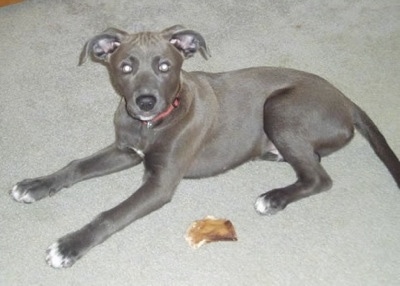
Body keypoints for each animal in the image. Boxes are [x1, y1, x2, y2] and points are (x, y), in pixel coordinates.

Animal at [10, 25, 400, 268]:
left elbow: (111, 214)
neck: (153, 125)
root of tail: (346, 100)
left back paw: (274, 198)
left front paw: (69, 246)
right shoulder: (125, 150)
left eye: (165, 66)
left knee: (319, 177)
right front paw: (35, 185)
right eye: (126, 67)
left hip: (279, 108)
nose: (145, 101)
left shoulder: (160, 183)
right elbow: (76, 165)